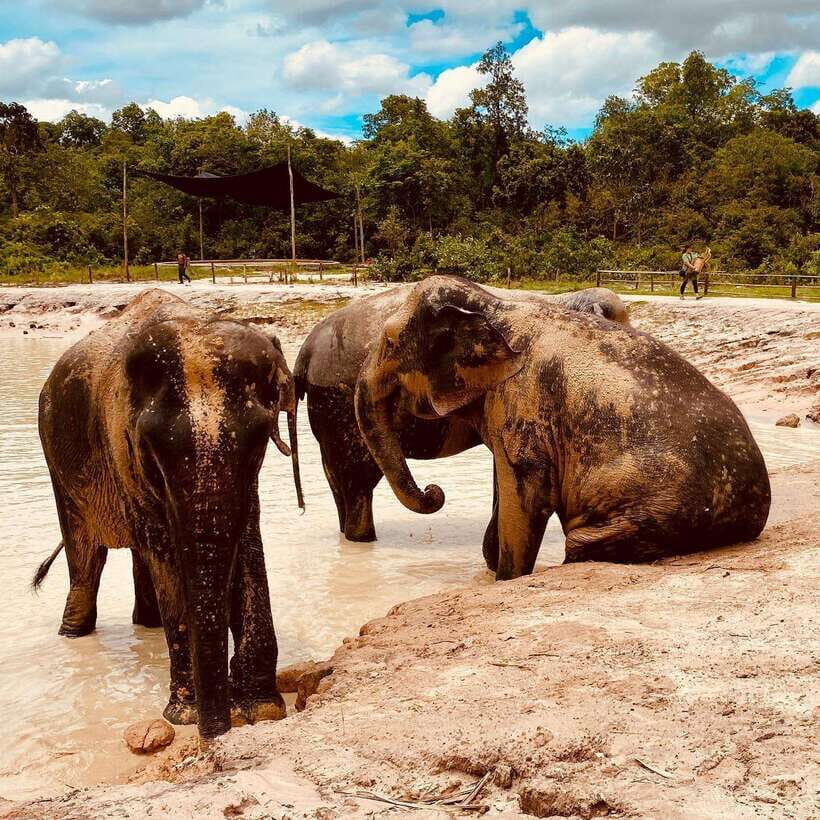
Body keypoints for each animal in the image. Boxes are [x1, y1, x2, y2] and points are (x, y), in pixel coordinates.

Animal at [34, 289, 303, 739]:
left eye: (260, 441)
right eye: (150, 449)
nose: (217, 732)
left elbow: (247, 540)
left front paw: (260, 710)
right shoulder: (119, 445)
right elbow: (164, 548)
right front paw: (188, 717)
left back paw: (147, 625)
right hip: (58, 460)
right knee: (88, 556)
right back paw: (73, 635)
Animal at [294, 283, 629, 545]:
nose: (434, 491)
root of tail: (305, 350)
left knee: (338, 480)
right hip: (338, 404)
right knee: (358, 482)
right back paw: (362, 539)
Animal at [354, 275, 771, 579]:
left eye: (389, 341)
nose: (434, 491)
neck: (494, 305)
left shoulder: (523, 394)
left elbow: (526, 490)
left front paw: (508, 578)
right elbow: (505, 479)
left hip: (656, 508)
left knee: (582, 543)